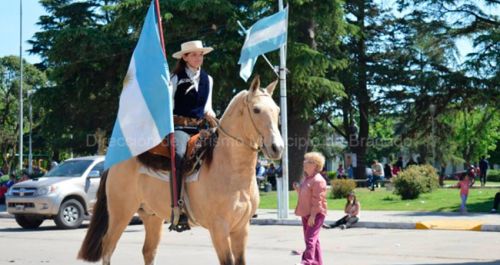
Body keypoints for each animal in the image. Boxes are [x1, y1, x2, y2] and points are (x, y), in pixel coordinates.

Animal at [76, 75, 284, 262]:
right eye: (256, 110)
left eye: (277, 110)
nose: (277, 147)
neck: (231, 169)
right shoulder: (219, 229)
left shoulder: (241, 228)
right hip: (120, 213)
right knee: (108, 248)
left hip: (151, 216)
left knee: (148, 251)